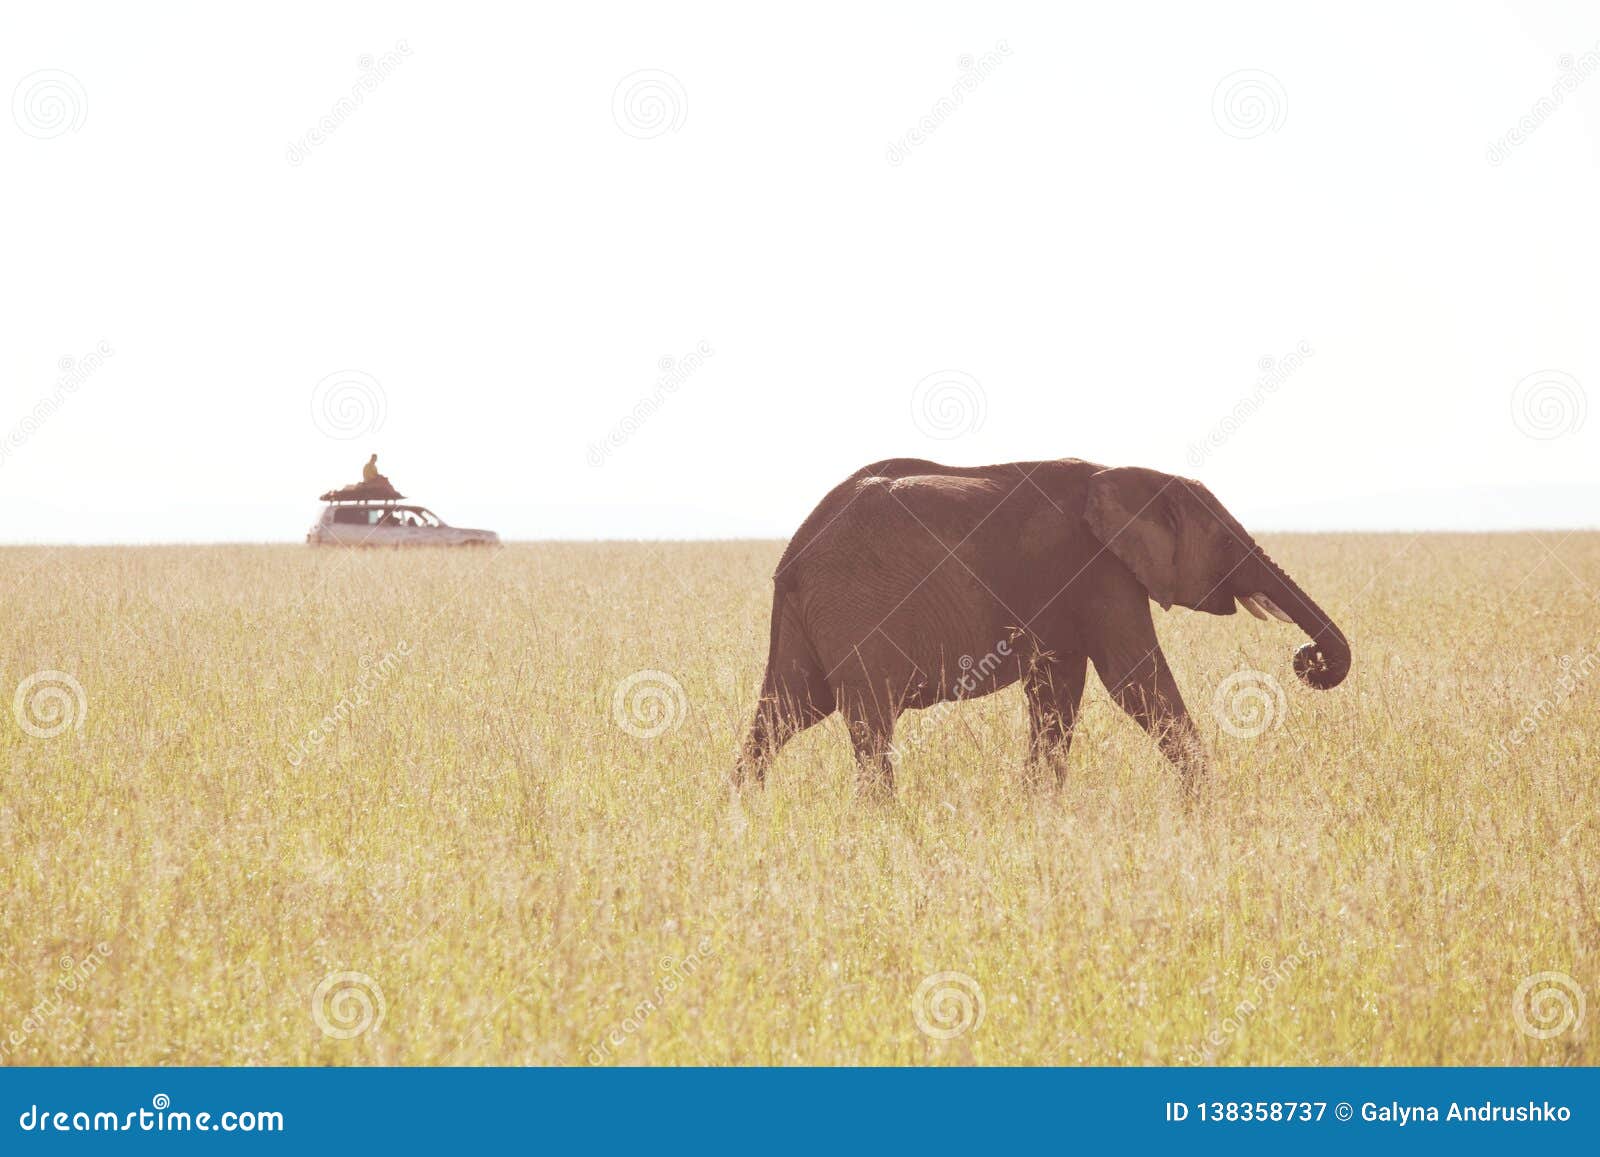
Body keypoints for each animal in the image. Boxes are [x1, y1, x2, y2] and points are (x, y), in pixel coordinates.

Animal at [732, 457, 1350, 800]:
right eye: (1224, 541)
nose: (1308, 658)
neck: (1126, 474)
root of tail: (790, 558)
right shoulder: (1097, 570)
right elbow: (1134, 682)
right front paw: (1207, 807)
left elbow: (1058, 693)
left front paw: (1037, 808)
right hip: (855, 607)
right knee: (869, 722)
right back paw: (883, 824)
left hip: (812, 618)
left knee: (784, 713)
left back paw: (740, 814)